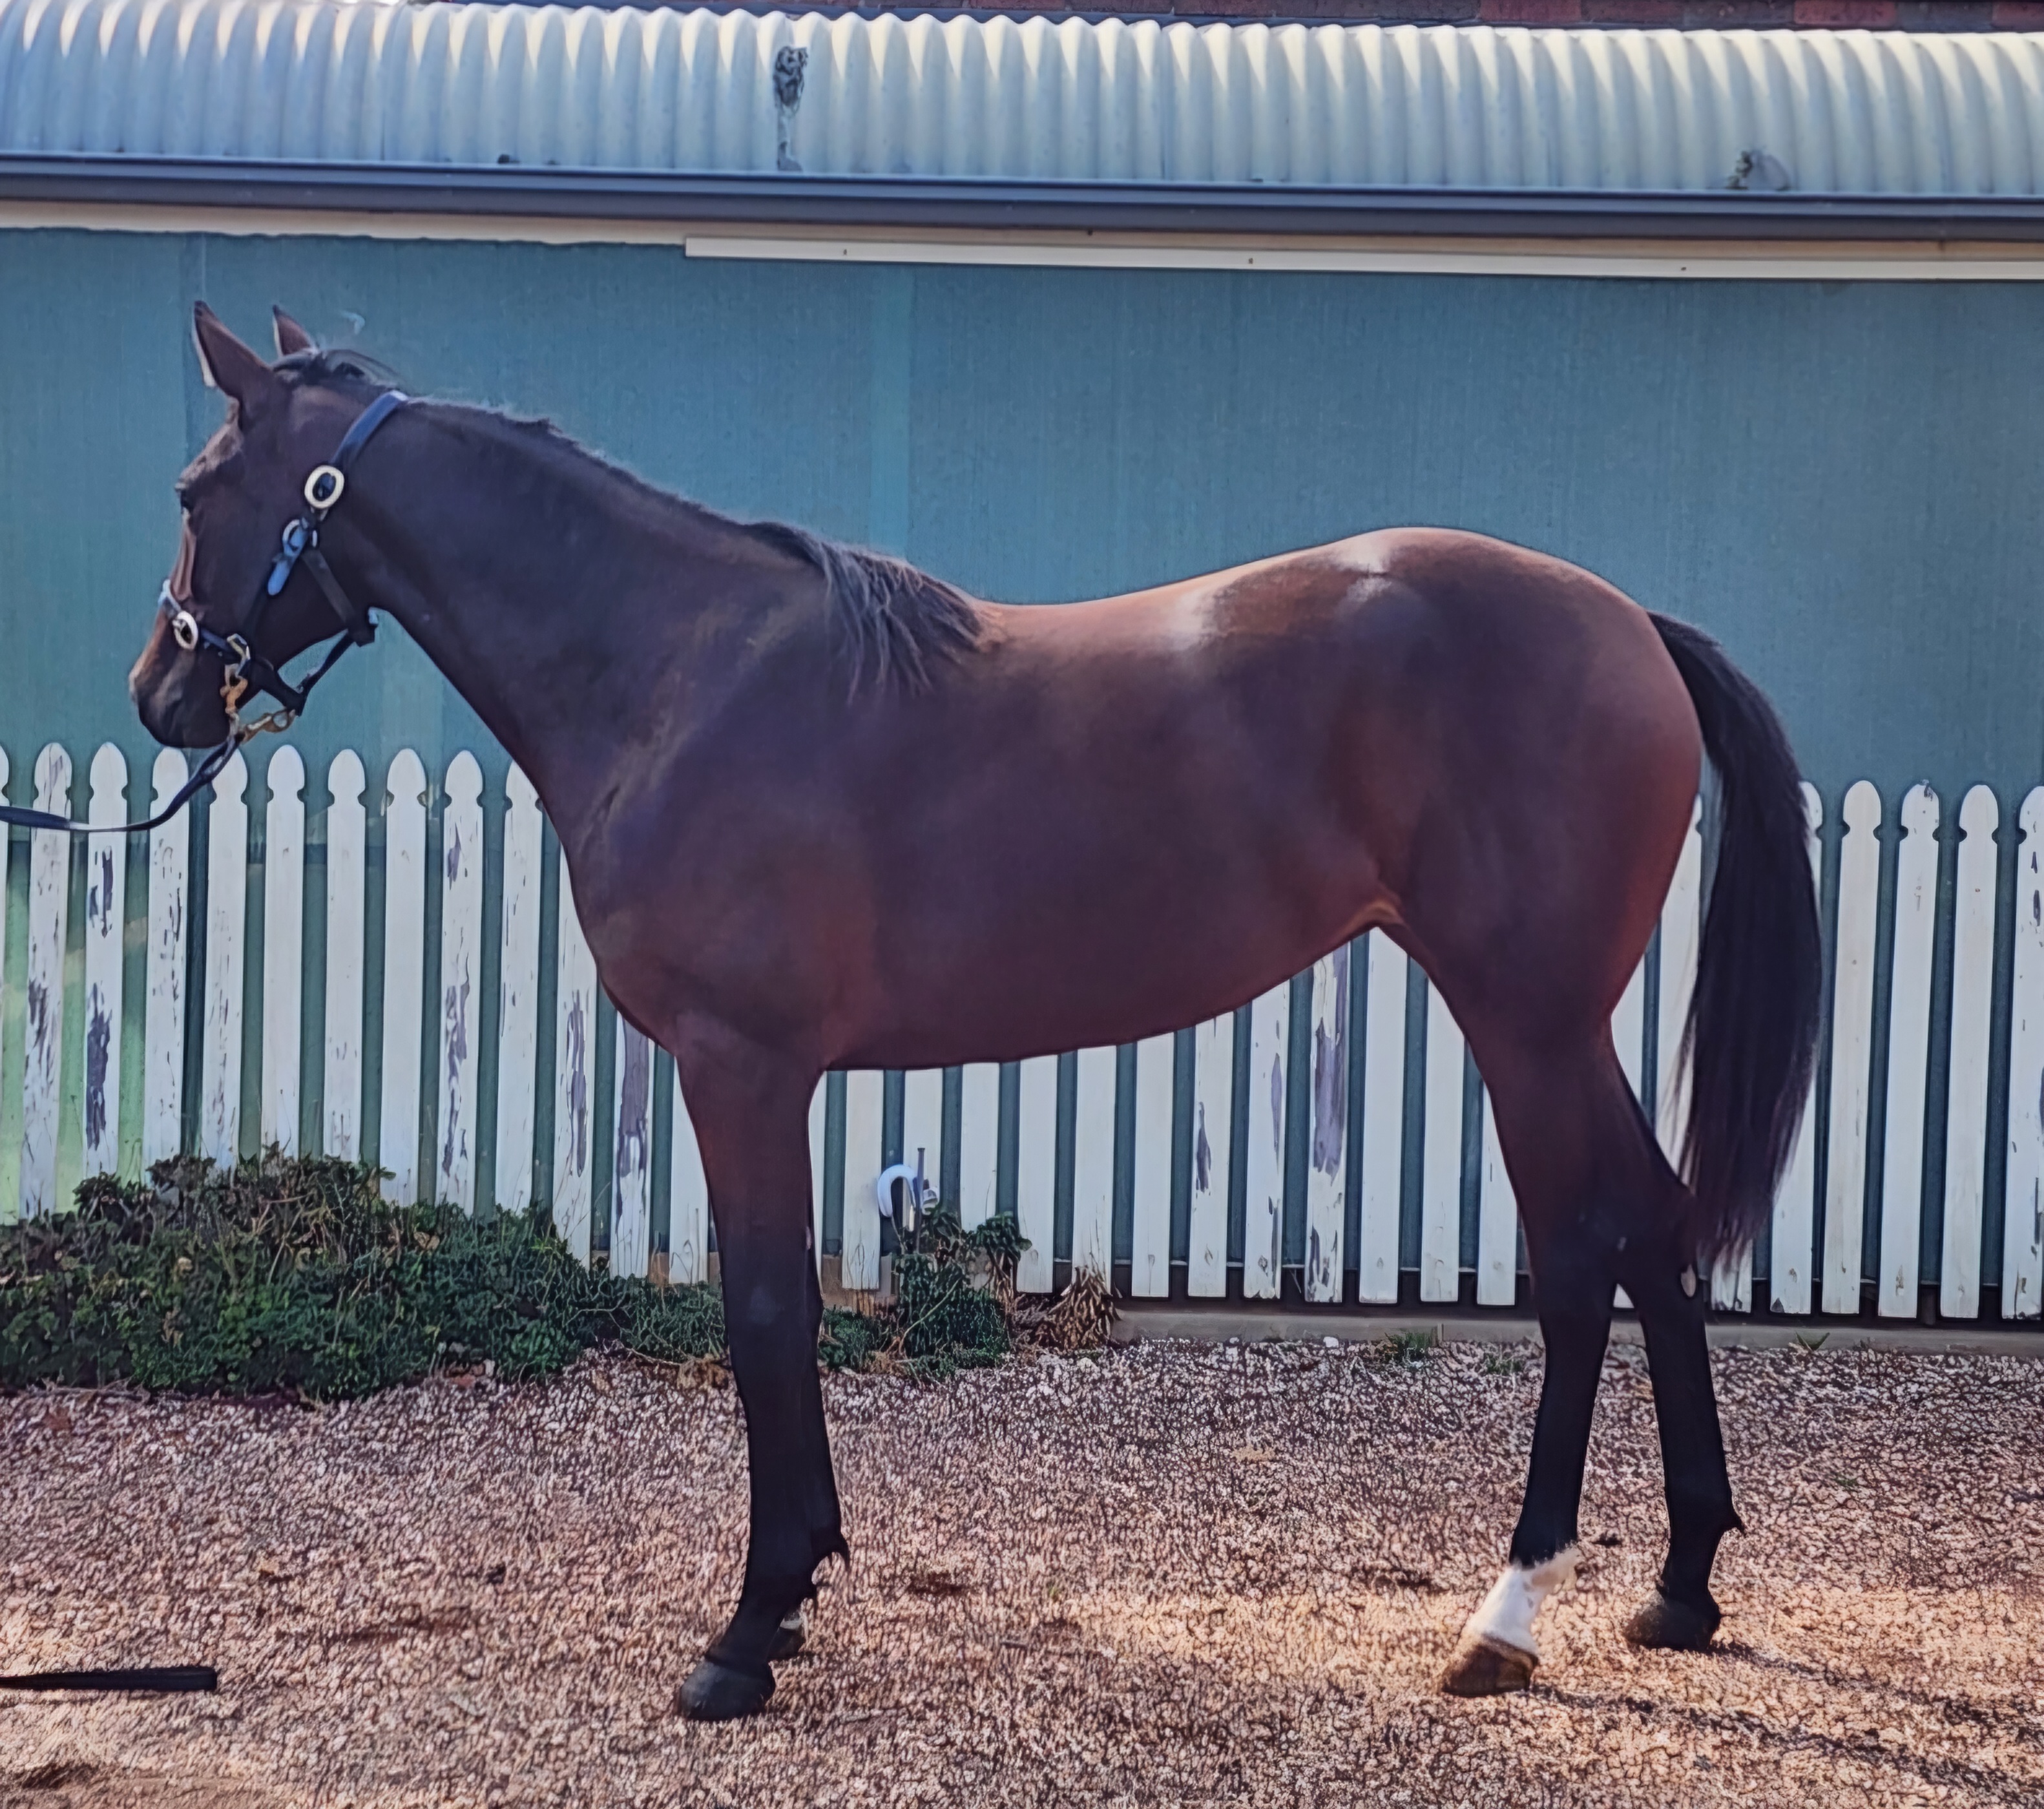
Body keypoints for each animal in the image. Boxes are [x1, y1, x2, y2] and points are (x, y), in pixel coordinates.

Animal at [128, 303, 1821, 1719]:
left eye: (199, 489)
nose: (161, 695)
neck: (679, 677)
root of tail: (1626, 622)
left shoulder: (742, 1069)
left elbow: (765, 1314)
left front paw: (748, 1631)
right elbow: (783, 1313)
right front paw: (793, 1594)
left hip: (1522, 1021)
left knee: (1582, 1261)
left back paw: (1507, 1613)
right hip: (1563, 1030)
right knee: (1658, 1233)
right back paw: (1680, 1588)